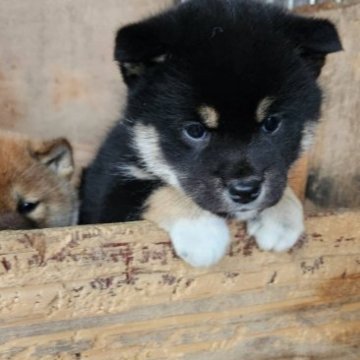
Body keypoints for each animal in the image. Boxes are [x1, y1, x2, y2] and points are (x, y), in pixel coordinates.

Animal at [80, 0, 342, 268]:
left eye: (271, 123)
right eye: (195, 130)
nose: (245, 191)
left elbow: (280, 183)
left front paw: (283, 217)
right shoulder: (107, 194)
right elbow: (153, 188)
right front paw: (201, 232)